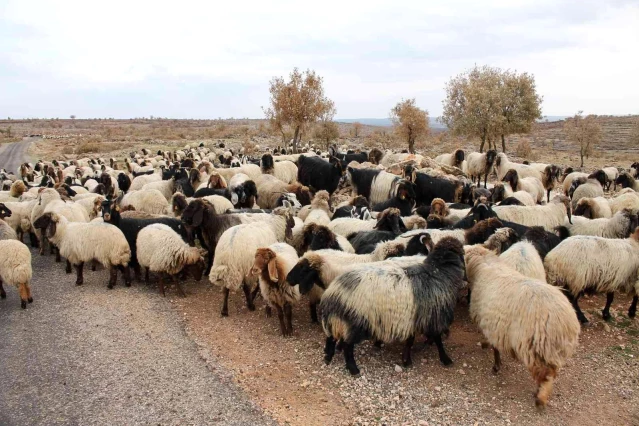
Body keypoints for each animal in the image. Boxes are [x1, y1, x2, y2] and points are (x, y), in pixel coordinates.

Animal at [320, 238, 464, 374]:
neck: (437, 272)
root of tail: (334, 291)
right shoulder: (433, 315)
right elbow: (437, 339)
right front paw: (445, 359)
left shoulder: (412, 318)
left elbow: (410, 340)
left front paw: (406, 359)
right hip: (357, 321)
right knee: (347, 345)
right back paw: (353, 368)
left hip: (343, 319)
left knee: (332, 336)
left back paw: (328, 356)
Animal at [462, 246, 584, 410]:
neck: (484, 266)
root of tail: (564, 321)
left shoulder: (491, 323)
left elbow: (494, 347)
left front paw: (495, 364)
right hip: (552, 350)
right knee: (552, 372)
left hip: (535, 346)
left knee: (545, 375)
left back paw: (540, 397)